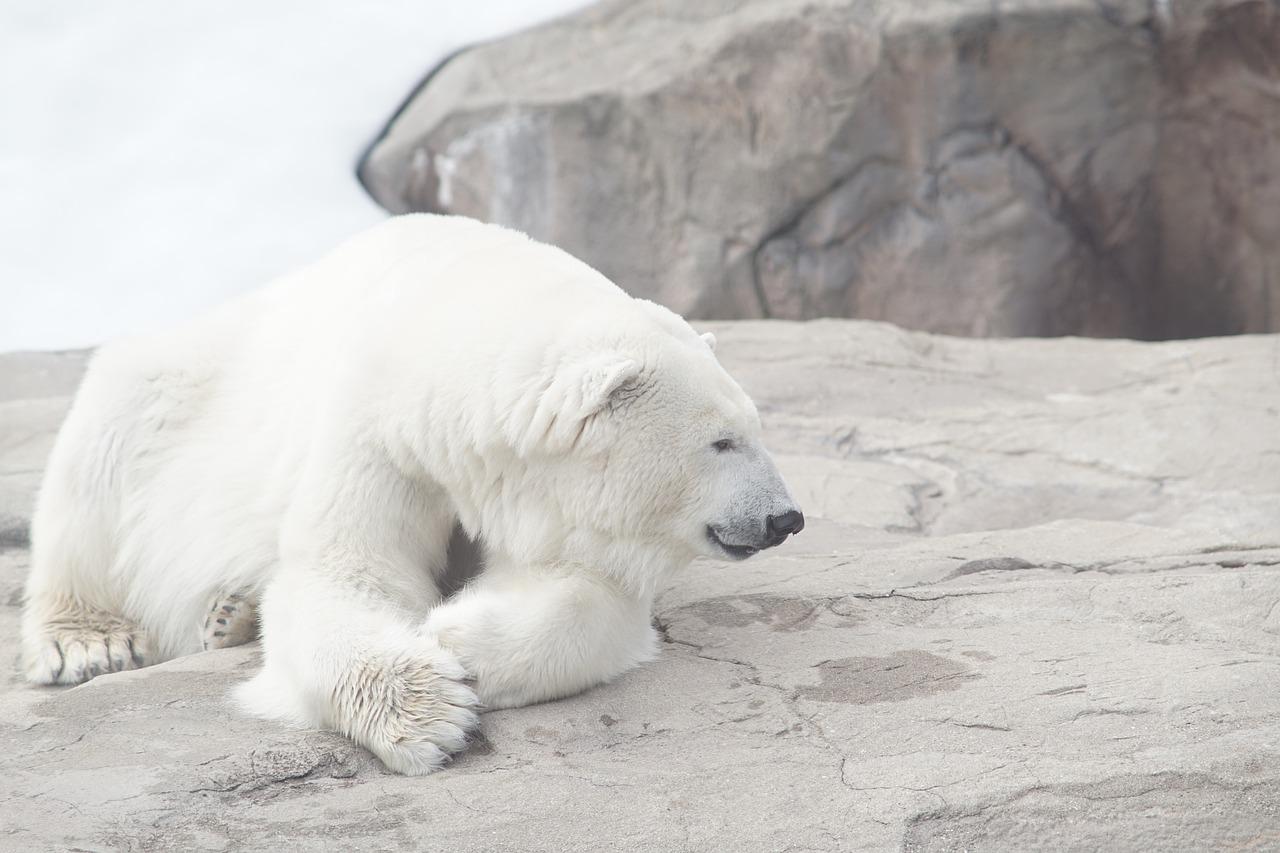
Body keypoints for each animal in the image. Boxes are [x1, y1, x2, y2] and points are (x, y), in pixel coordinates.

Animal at [20, 213, 803, 768]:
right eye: (722, 441)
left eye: (755, 426)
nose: (785, 517)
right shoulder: (379, 432)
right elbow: (345, 573)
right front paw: (428, 709)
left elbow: (589, 590)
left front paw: (457, 635)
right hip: (174, 390)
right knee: (101, 458)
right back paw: (89, 642)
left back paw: (229, 615)